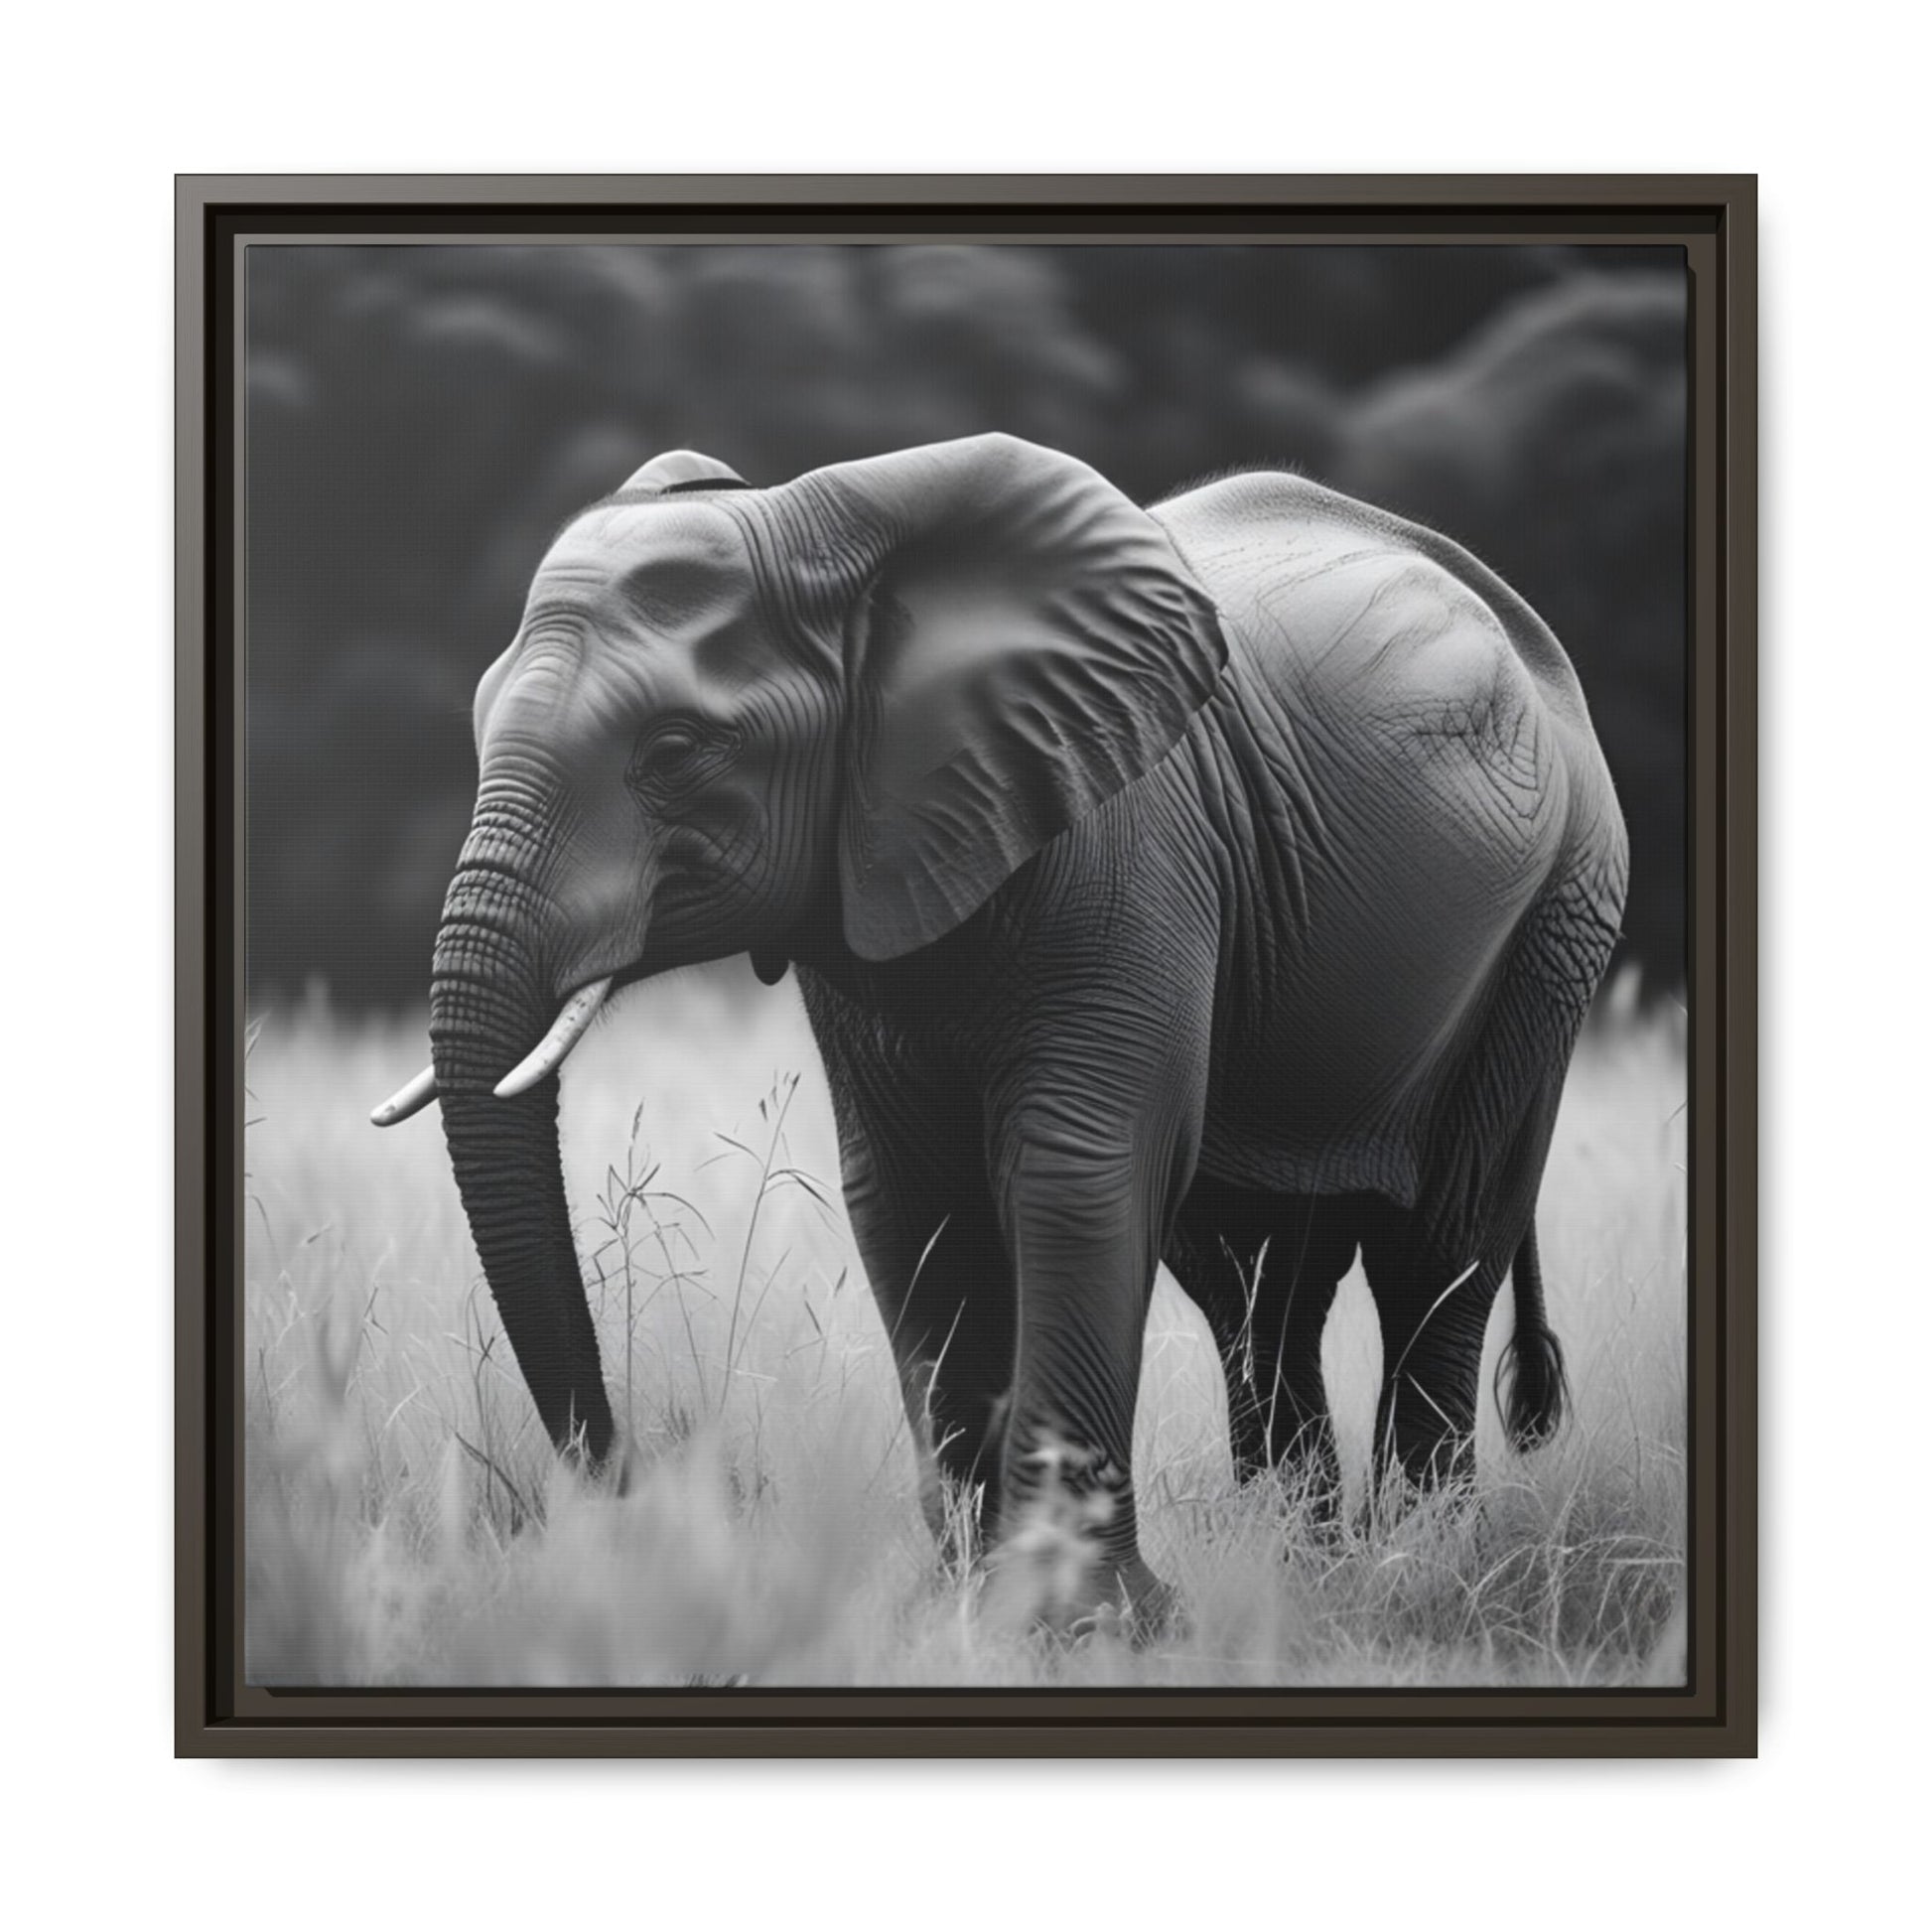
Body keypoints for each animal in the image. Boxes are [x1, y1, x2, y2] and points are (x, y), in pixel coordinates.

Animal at [372, 433, 1628, 1629]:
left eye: (675, 751)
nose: (639, 1498)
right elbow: (905, 1195)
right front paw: (965, 1605)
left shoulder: (1127, 843)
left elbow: (1075, 1170)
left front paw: (1080, 1624)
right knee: (1253, 1278)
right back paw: (1302, 1567)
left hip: (1556, 919)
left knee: (1439, 1245)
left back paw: (1418, 1566)